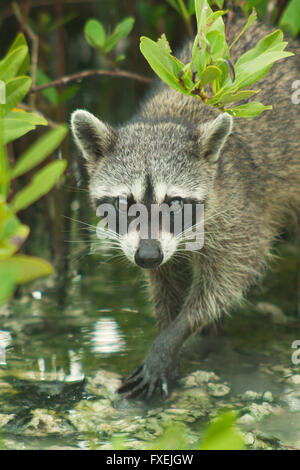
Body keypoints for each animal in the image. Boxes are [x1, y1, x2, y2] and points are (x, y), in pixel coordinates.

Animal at [71, 19, 300, 400]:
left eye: (175, 203)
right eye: (125, 202)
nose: (148, 256)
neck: (168, 120)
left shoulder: (238, 212)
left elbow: (228, 278)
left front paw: (175, 335)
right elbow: (165, 284)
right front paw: (171, 329)